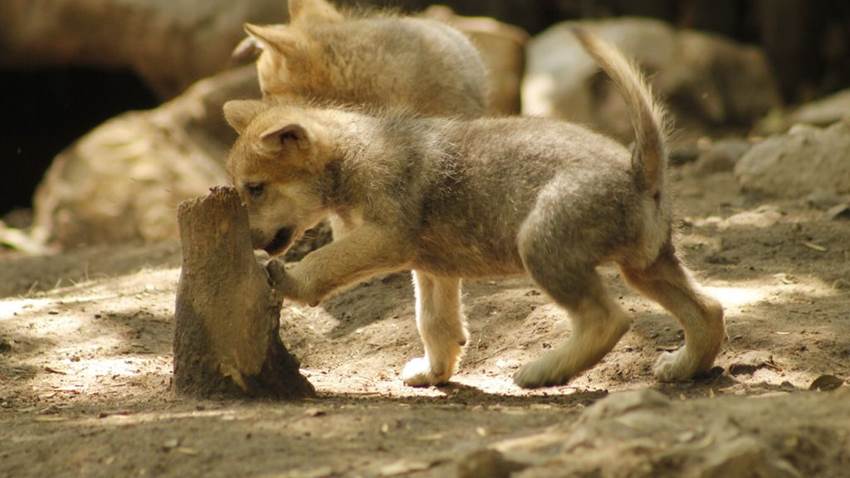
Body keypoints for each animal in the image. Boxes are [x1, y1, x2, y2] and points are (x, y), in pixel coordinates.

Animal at [223, 28, 725, 388]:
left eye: (255, 189)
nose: (244, 239)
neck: (355, 155)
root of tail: (640, 169)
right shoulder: (432, 269)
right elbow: (436, 325)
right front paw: (435, 374)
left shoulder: (386, 238)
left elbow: (324, 262)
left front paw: (288, 279)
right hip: (646, 266)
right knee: (709, 311)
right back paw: (683, 368)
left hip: (541, 246)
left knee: (610, 319)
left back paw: (545, 371)